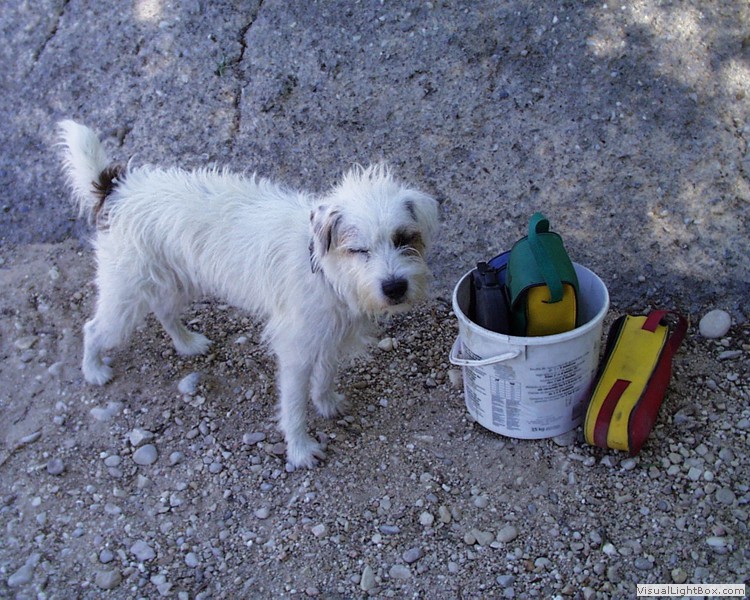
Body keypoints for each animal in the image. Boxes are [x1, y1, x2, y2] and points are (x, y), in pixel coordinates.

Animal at [57, 120, 438, 468]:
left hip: (178, 281)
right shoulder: (296, 350)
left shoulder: (330, 335)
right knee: (94, 329)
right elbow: (294, 406)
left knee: (164, 311)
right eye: (359, 250)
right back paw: (94, 369)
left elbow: (325, 377)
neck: (322, 267)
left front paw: (326, 403)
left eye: (405, 238)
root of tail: (117, 189)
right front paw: (300, 449)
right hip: (124, 298)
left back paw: (186, 344)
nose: (395, 287)